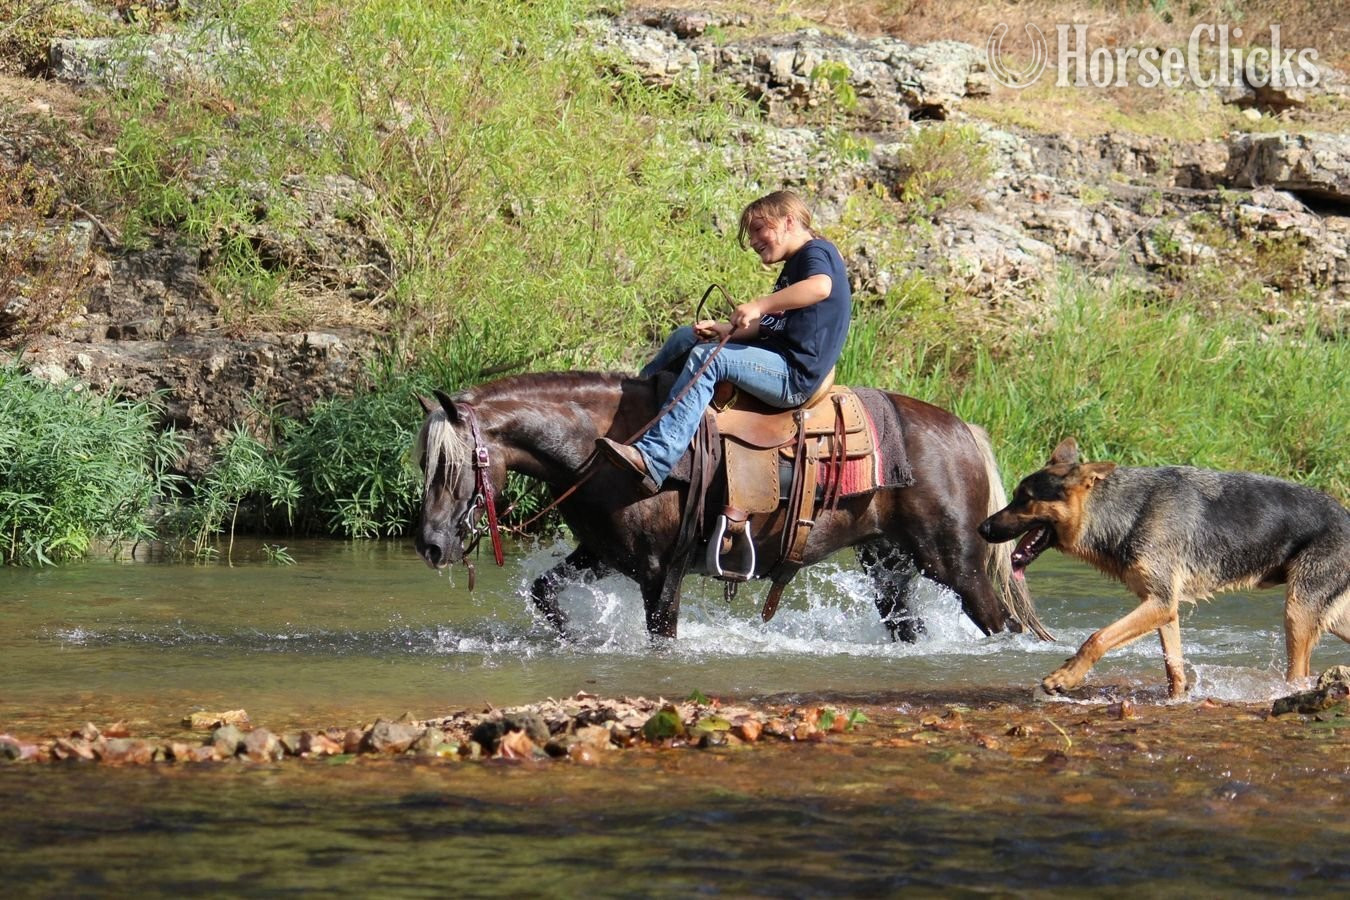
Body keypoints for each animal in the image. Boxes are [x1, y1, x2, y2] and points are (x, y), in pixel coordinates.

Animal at [413, 371, 1048, 642]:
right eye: (425, 464)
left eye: (450, 467)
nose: (431, 545)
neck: (609, 447)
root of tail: (962, 430)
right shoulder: (600, 554)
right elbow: (544, 591)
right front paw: (570, 635)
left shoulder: (659, 572)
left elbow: (662, 636)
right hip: (889, 565)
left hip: (956, 563)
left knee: (1003, 623)